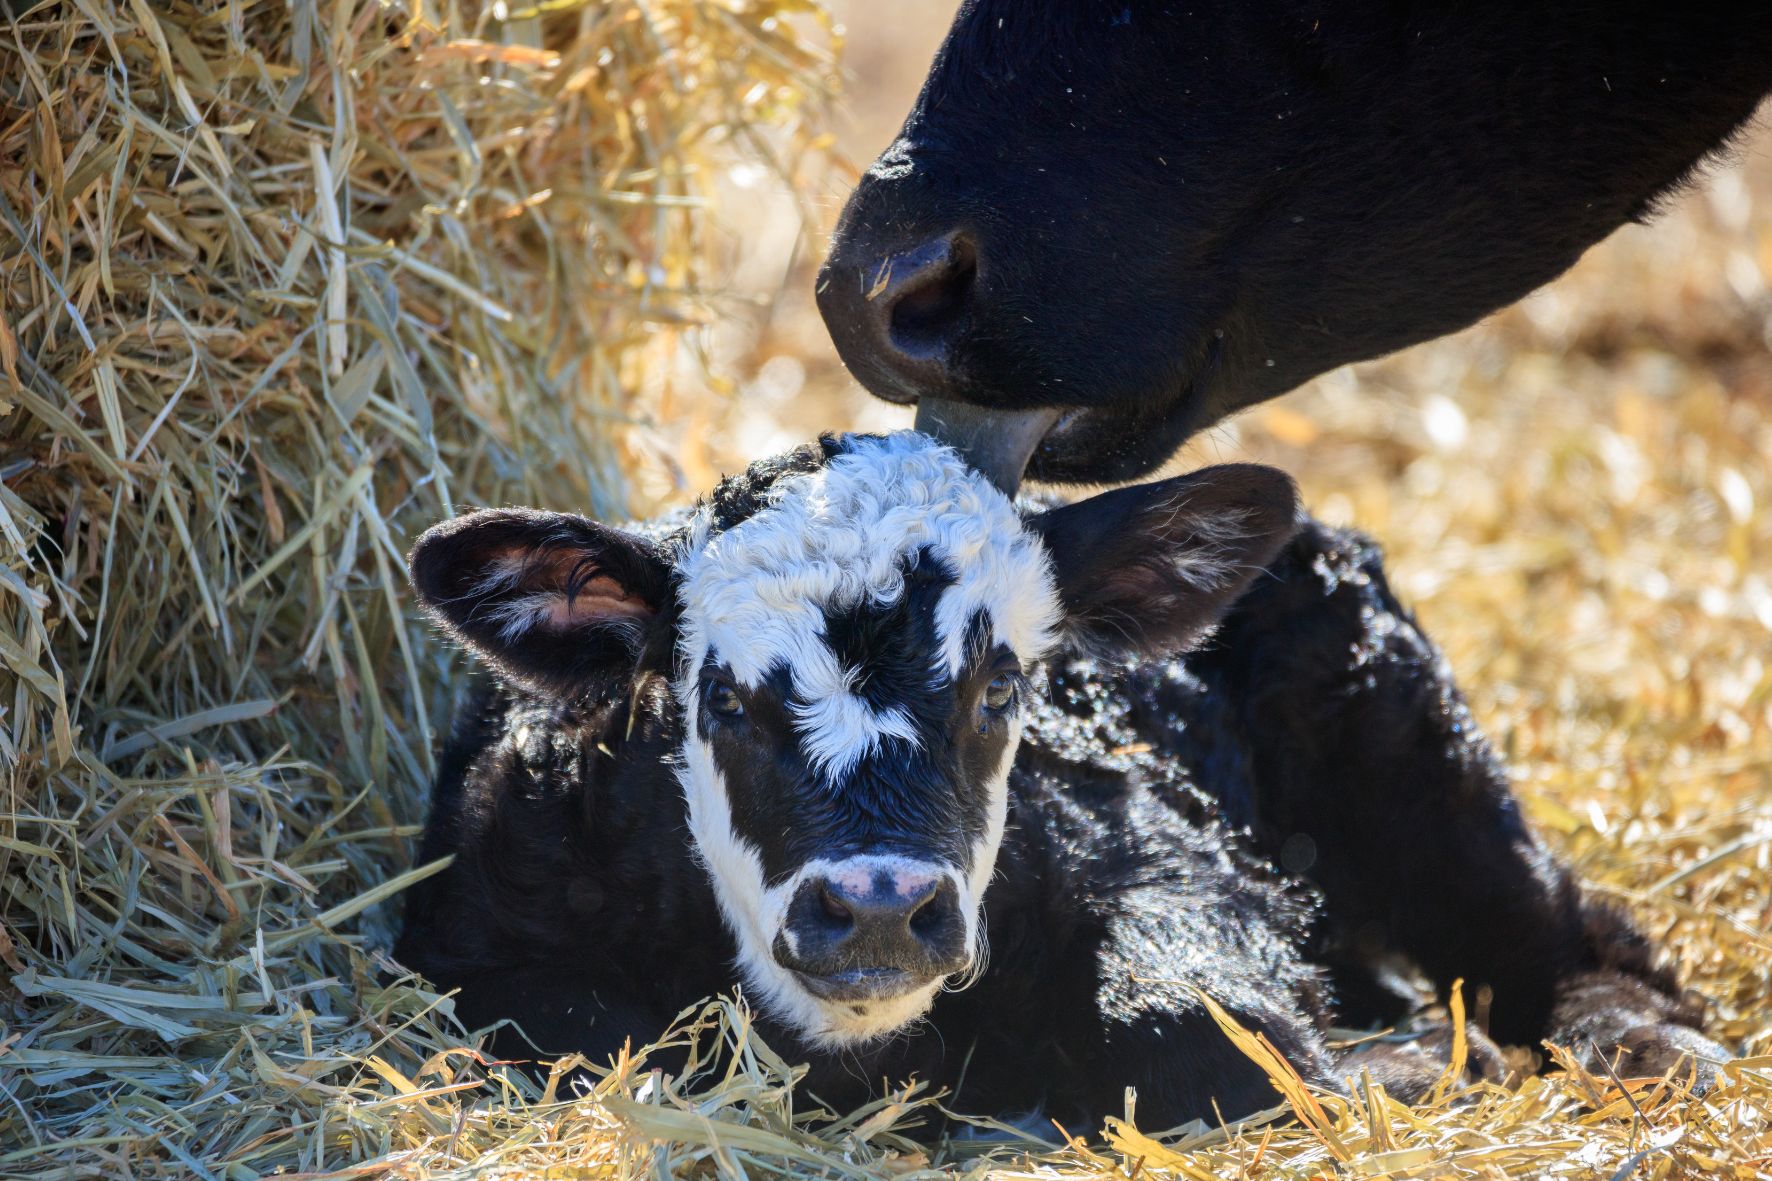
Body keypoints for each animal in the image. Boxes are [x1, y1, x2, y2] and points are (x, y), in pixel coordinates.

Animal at [395, 430, 1722, 1120]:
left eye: (1001, 689)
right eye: (720, 699)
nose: (878, 905)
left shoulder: (1169, 855)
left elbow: (1195, 1022)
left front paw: (1405, 1062)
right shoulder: (472, 943)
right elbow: (605, 1036)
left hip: (1408, 745)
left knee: (1570, 930)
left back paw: (1639, 1042)